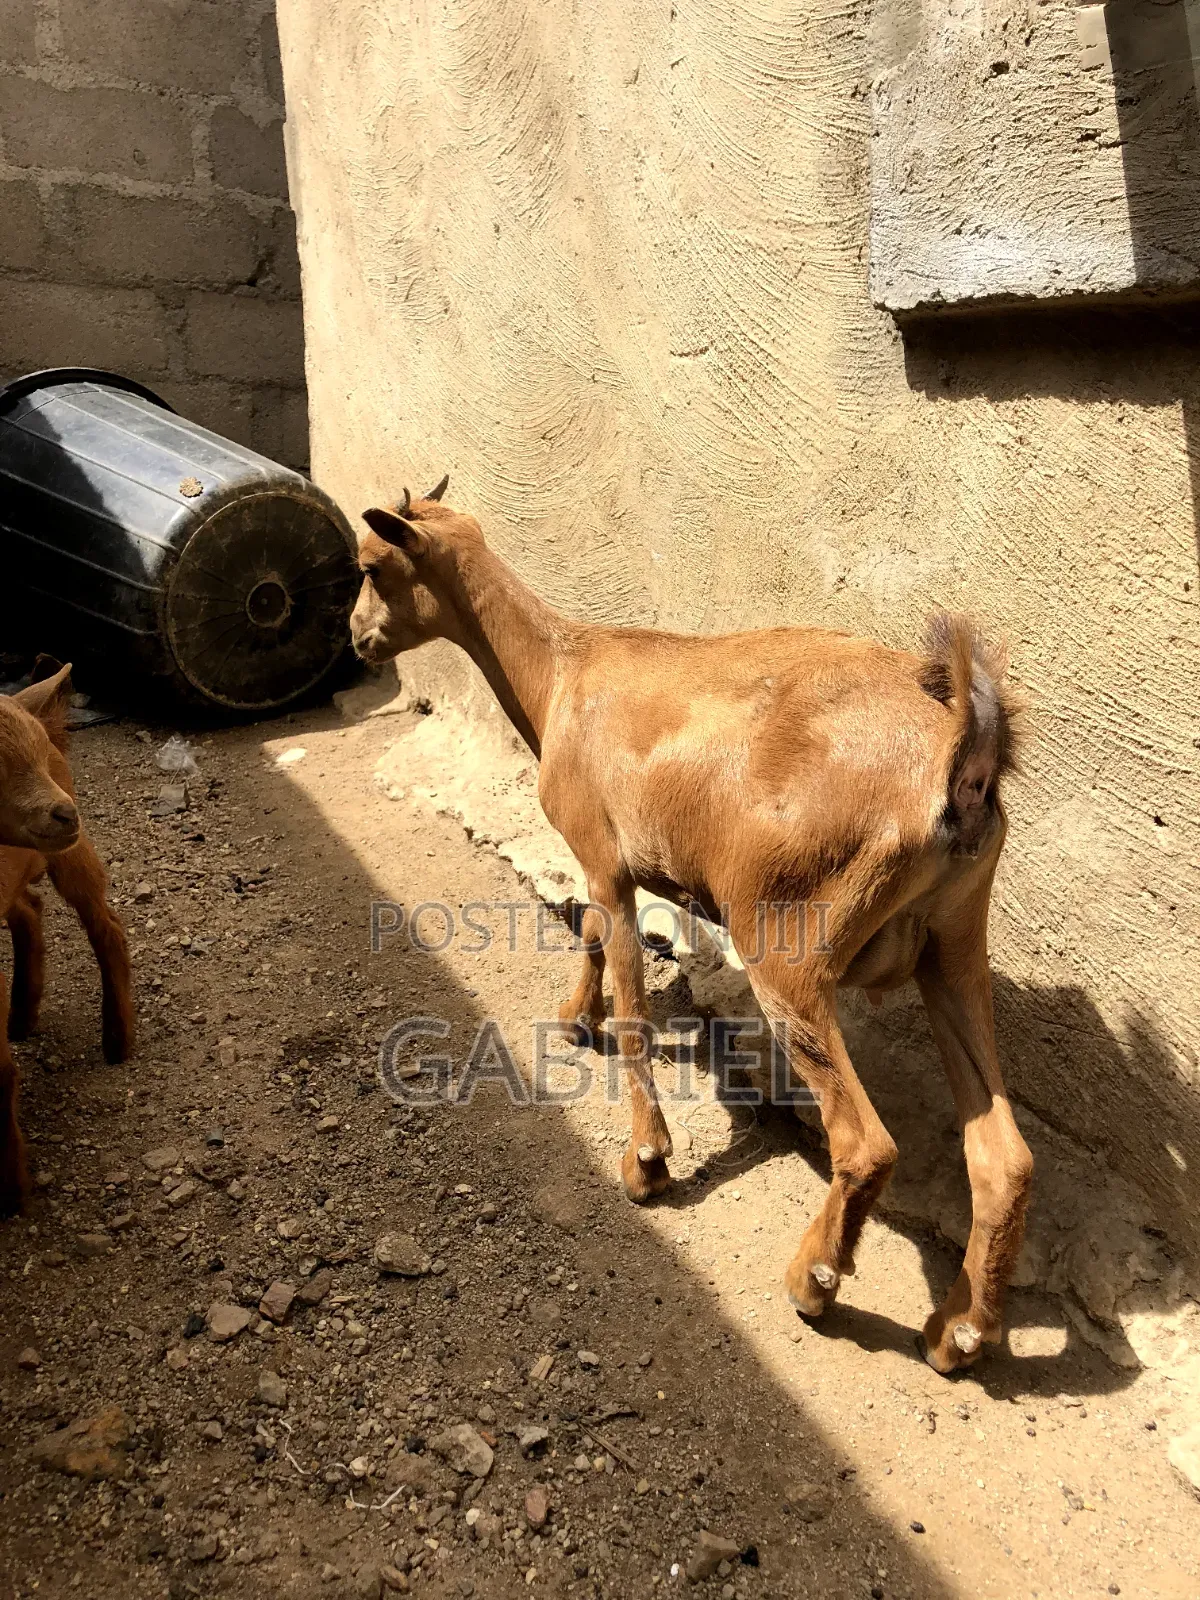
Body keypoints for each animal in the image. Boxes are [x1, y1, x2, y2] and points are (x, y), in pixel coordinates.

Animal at [350, 481, 1031, 1375]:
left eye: (371, 563)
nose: (356, 637)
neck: (562, 673)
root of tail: (961, 758)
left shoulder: (605, 856)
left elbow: (631, 997)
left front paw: (646, 1160)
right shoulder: (614, 867)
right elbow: (594, 941)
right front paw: (574, 1021)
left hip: (787, 940)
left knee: (867, 1145)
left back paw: (813, 1283)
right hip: (955, 945)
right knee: (1004, 1160)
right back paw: (958, 1332)